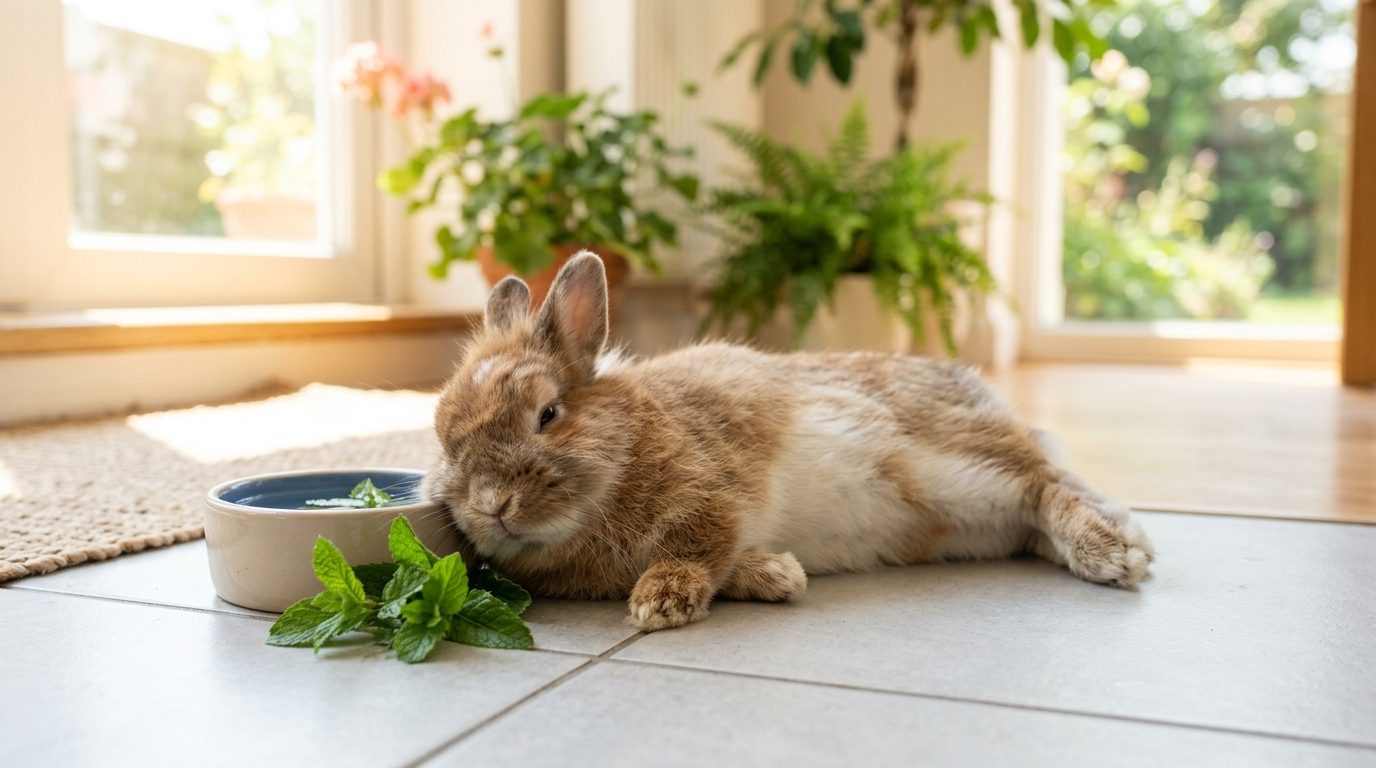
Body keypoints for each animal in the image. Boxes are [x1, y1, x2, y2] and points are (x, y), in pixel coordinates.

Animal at [426, 251, 1154, 631]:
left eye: (547, 414)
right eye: (443, 437)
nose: (491, 504)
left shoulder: (713, 497)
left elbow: (699, 548)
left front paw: (661, 604)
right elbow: (734, 562)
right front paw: (780, 577)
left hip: (951, 465)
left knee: (1042, 480)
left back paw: (1115, 551)